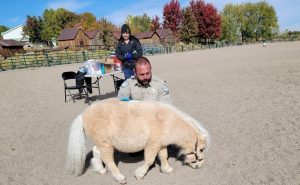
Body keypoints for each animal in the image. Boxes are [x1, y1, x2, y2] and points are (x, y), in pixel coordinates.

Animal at [67, 98, 210, 184]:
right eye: (201, 149)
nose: (199, 166)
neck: (167, 121)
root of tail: (84, 114)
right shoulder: (152, 145)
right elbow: (149, 160)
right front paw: (139, 174)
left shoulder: (161, 145)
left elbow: (163, 156)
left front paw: (166, 169)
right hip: (106, 145)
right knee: (108, 160)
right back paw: (120, 178)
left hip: (103, 143)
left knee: (97, 153)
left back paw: (101, 170)